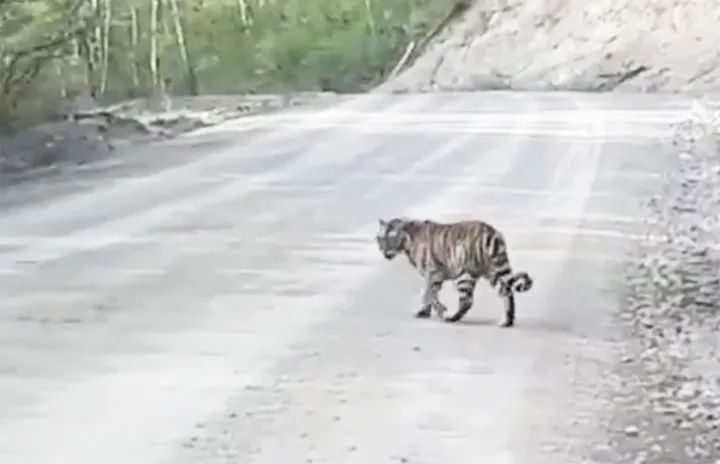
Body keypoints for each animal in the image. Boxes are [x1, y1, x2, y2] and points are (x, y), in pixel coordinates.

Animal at [374, 217, 532, 326]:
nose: (384, 252)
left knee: (467, 301)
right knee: (506, 291)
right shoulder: (431, 277)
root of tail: (491, 231)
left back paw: (451, 317)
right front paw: (424, 311)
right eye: (380, 239)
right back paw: (507, 321)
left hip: (464, 275)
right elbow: (427, 294)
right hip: (493, 271)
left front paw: (440, 310)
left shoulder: (433, 274)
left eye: (390, 239)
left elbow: (430, 295)